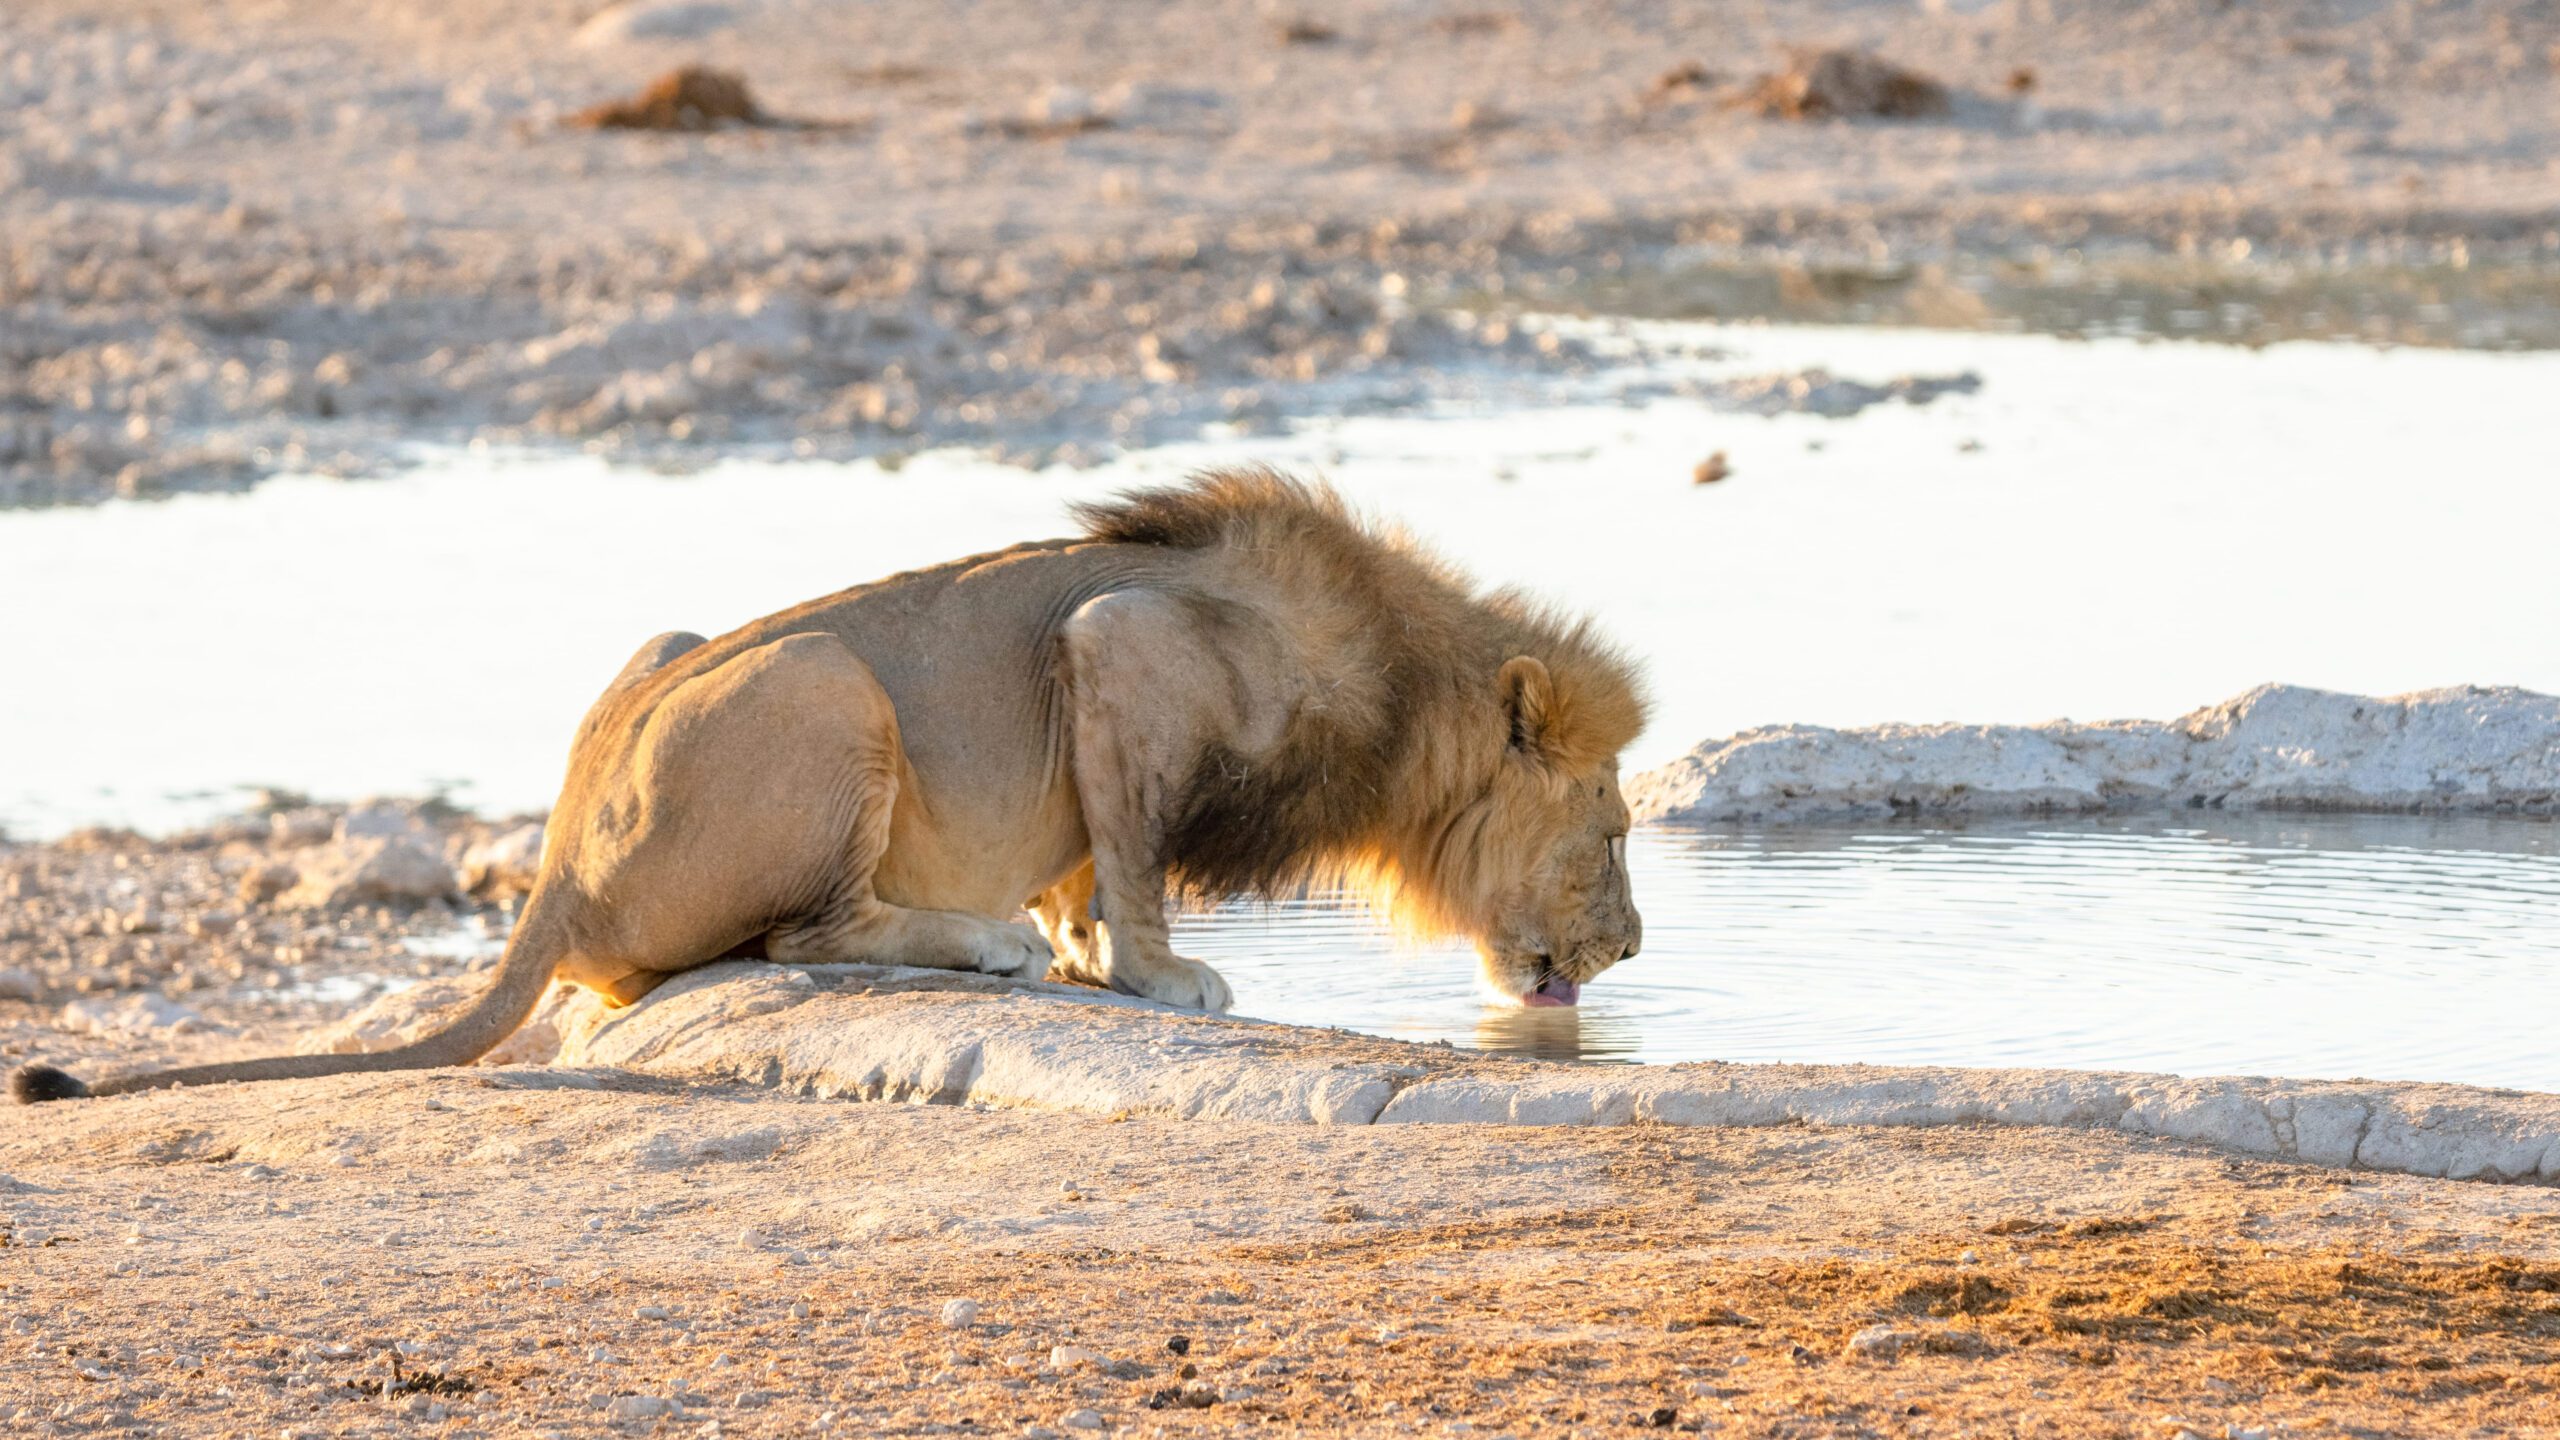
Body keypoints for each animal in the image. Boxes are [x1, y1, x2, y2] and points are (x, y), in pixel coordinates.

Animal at [12, 469, 1647, 1104]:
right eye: (1617, 826)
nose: (1635, 947)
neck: (1400, 690)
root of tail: (556, 864)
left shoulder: (1102, 687)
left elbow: (1082, 863)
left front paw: (1074, 948)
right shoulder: (1119, 643)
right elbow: (1128, 860)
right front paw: (1148, 972)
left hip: (678, 642)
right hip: (825, 680)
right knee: (802, 933)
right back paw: (976, 943)